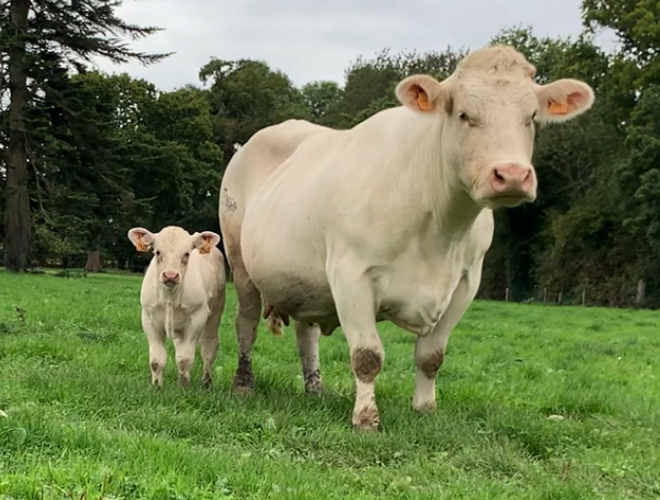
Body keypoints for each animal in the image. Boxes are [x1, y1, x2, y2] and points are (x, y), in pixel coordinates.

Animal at [127, 225, 226, 389]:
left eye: (186, 253)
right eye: (157, 252)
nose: (170, 275)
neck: (170, 297)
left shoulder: (196, 319)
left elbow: (184, 359)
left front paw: (184, 387)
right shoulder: (148, 319)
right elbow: (156, 360)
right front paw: (157, 386)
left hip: (216, 310)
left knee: (208, 347)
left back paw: (206, 382)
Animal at [218, 45, 595, 430]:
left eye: (531, 117)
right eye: (464, 115)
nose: (513, 175)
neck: (441, 229)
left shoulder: (466, 282)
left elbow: (432, 355)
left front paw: (425, 408)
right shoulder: (349, 274)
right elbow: (367, 355)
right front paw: (366, 418)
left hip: (303, 280)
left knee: (306, 333)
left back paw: (315, 389)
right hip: (240, 262)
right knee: (245, 323)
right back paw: (243, 384)